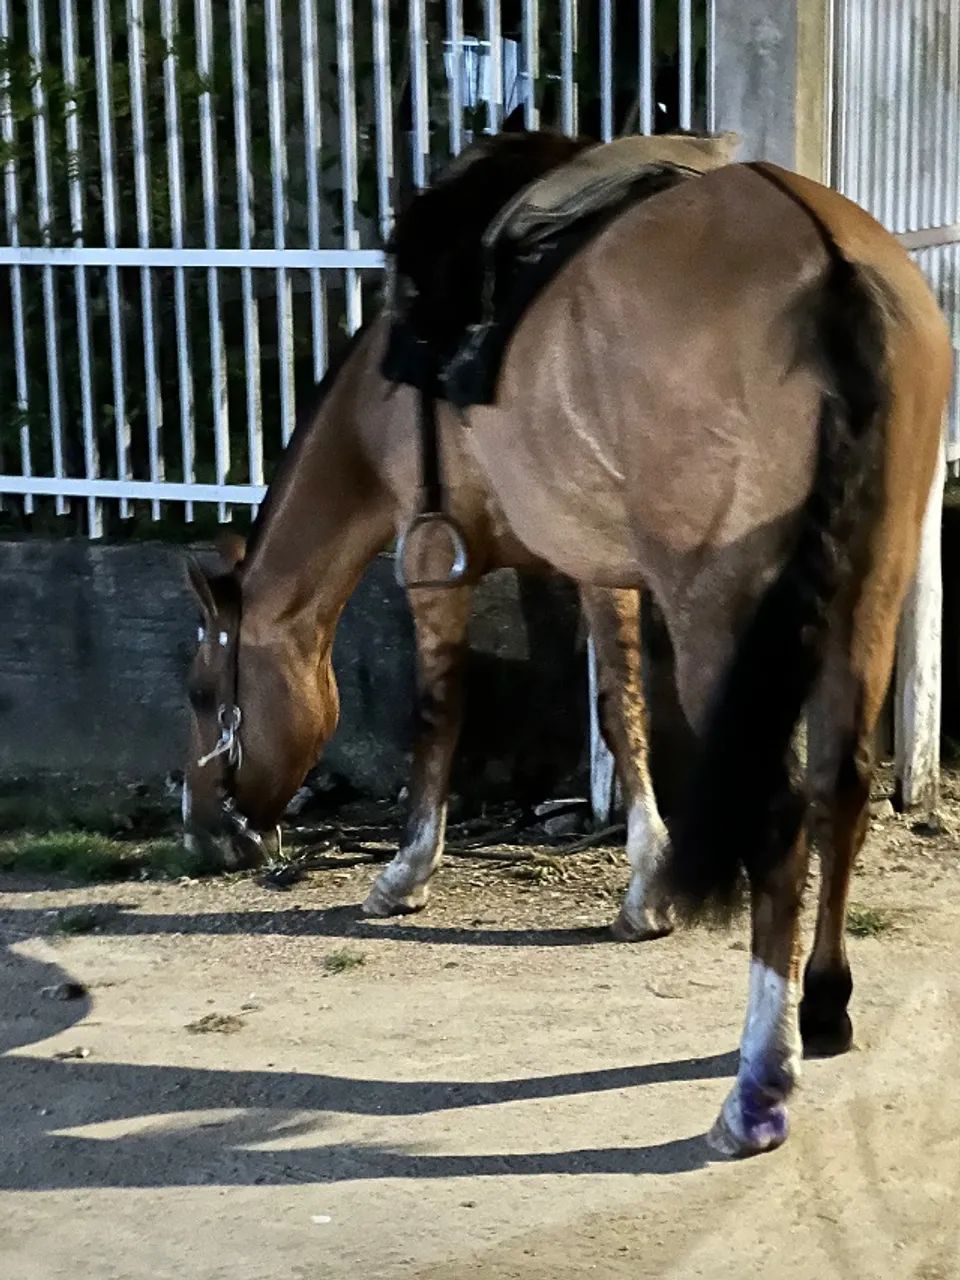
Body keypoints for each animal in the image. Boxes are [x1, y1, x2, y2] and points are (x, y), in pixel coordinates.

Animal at [183, 135, 951, 1156]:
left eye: (201, 693)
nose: (201, 827)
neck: (387, 390)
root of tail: (833, 267)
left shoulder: (431, 564)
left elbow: (438, 719)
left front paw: (403, 875)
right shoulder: (602, 571)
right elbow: (621, 717)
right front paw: (645, 893)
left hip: (726, 616)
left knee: (781, 819)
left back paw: (757, 1086)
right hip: (871, 590)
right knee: (843, 785)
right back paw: (821, 1010)